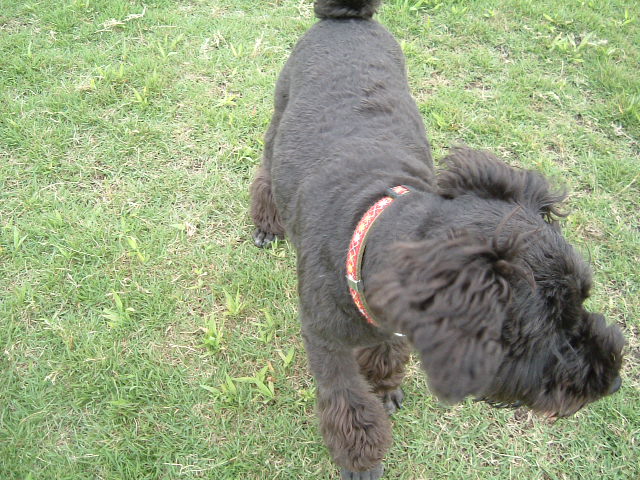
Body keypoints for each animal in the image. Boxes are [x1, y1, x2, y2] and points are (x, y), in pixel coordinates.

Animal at [249, 1, 625, 478]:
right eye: (543, 328)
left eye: (583, 299)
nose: (614, 382)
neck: (366, 227)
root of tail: (347, 18)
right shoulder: (325, 341)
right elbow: (347, 402)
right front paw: (360, 459)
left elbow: (387, 350)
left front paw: (385, 384)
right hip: (279, 117)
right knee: (265, 169)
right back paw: (267, 222)